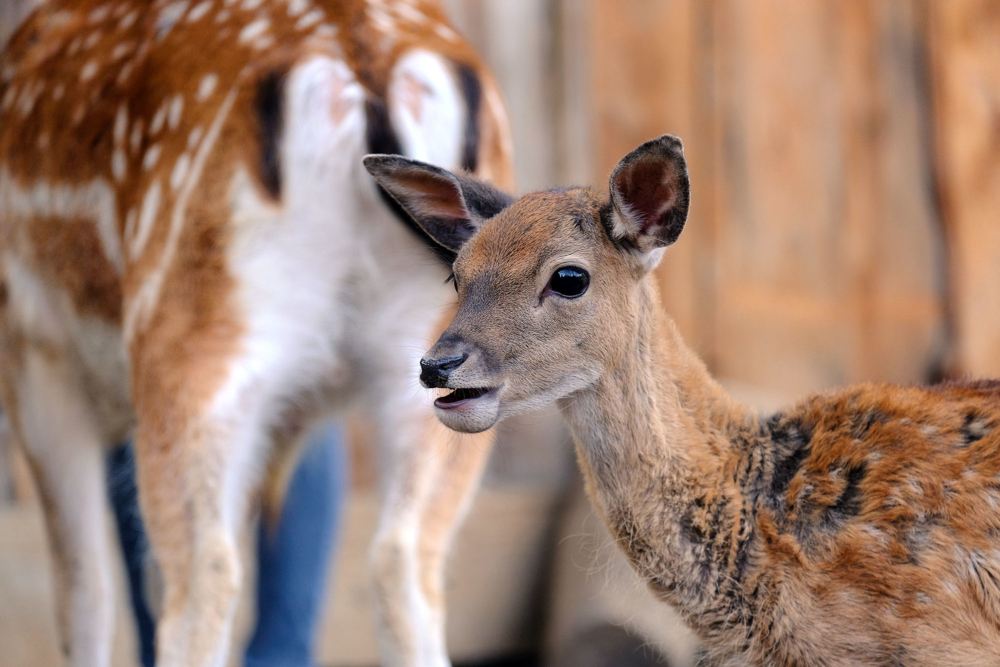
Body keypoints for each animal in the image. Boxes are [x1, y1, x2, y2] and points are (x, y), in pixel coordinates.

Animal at [0, 0, 513, 665]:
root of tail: (364, 65)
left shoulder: (32, 352)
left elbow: (86, 589)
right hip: (445, 375)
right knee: (404, 559)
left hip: (191, 344)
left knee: (204, 578)